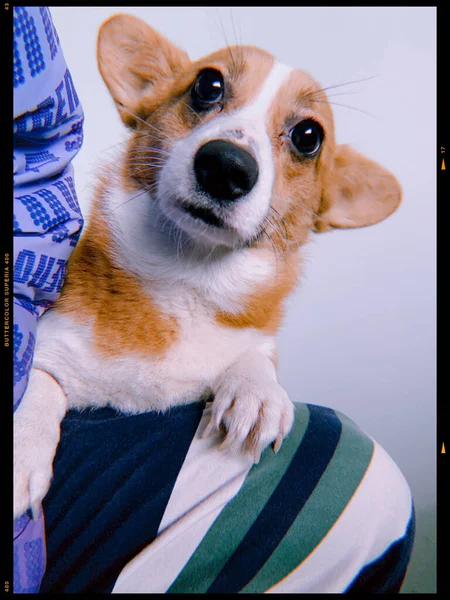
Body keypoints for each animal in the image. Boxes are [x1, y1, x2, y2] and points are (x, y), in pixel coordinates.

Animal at [13, 14, 400, 520]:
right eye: (207, 85)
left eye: (308, 137)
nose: (226, 166)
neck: (190, 274)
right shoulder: (50, 344)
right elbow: (39, 382)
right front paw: (22, 448)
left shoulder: (251, 336)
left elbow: (256, 354)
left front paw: (258, 392)